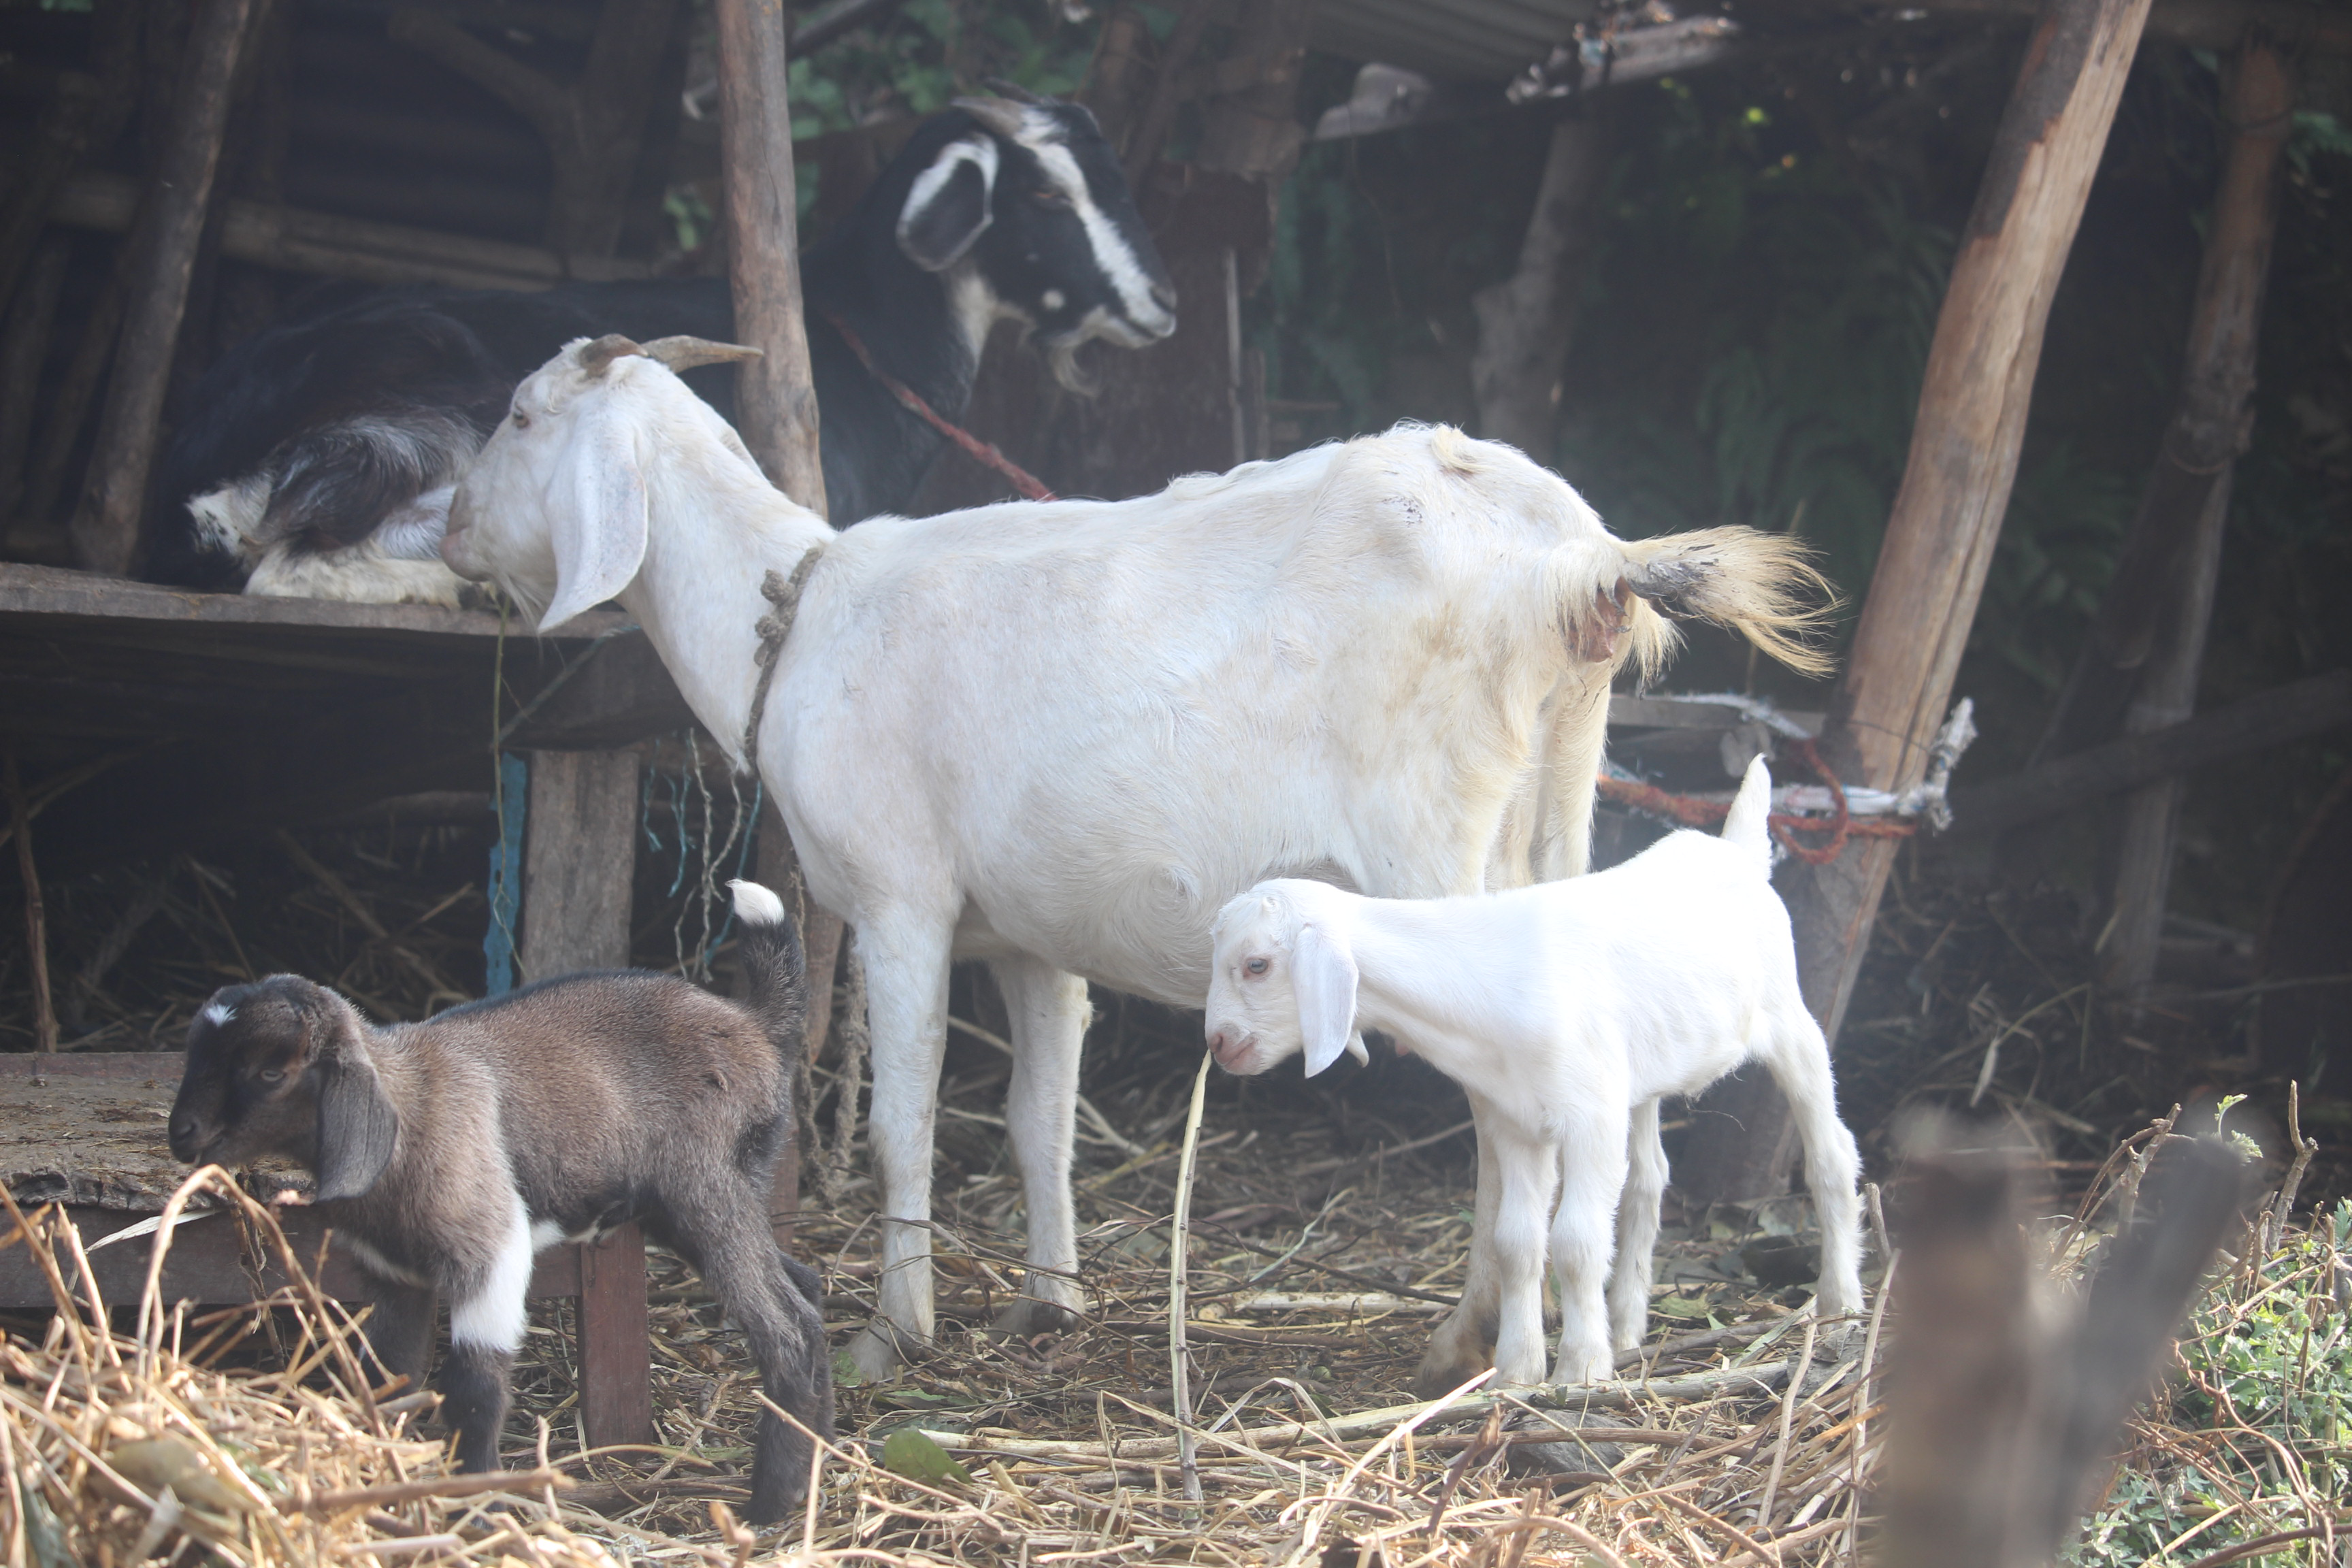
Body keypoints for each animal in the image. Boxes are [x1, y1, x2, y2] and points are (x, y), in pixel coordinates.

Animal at [142, 95, 1175, 601]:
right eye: (1045, 194)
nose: (1162, 302)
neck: (859, 336)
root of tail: (193, 455)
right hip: (426, 410)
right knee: (289, 563)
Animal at [166, 881, 832, 1522]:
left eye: (270, 1072)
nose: (182, 1134)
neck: (409, 1109)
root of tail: (752, 1024)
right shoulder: (395, 1275)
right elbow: (389, 1376)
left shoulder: (490, 1247)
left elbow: (474, 1390)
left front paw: (478, 1511)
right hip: (700, 1201)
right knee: (806, 1291)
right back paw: (817, 1456)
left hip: (705, 1188)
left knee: (787, 1329)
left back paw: (768, 1505)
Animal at [1203, 758, 1866, 1392]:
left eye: (1257, 965)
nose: (1218, 1043)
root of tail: (1735, 851)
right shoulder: (1519, 1122)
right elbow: (1517, 1242)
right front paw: (1518, 1371)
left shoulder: (1590, 1118)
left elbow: (1575, 1241)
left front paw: (1580, 1368)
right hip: (1643, 1071)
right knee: (1649, 1180)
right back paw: (1629, 1325)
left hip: (1790, 1020)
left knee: (1833, 1156)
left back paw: (1841, 1302)